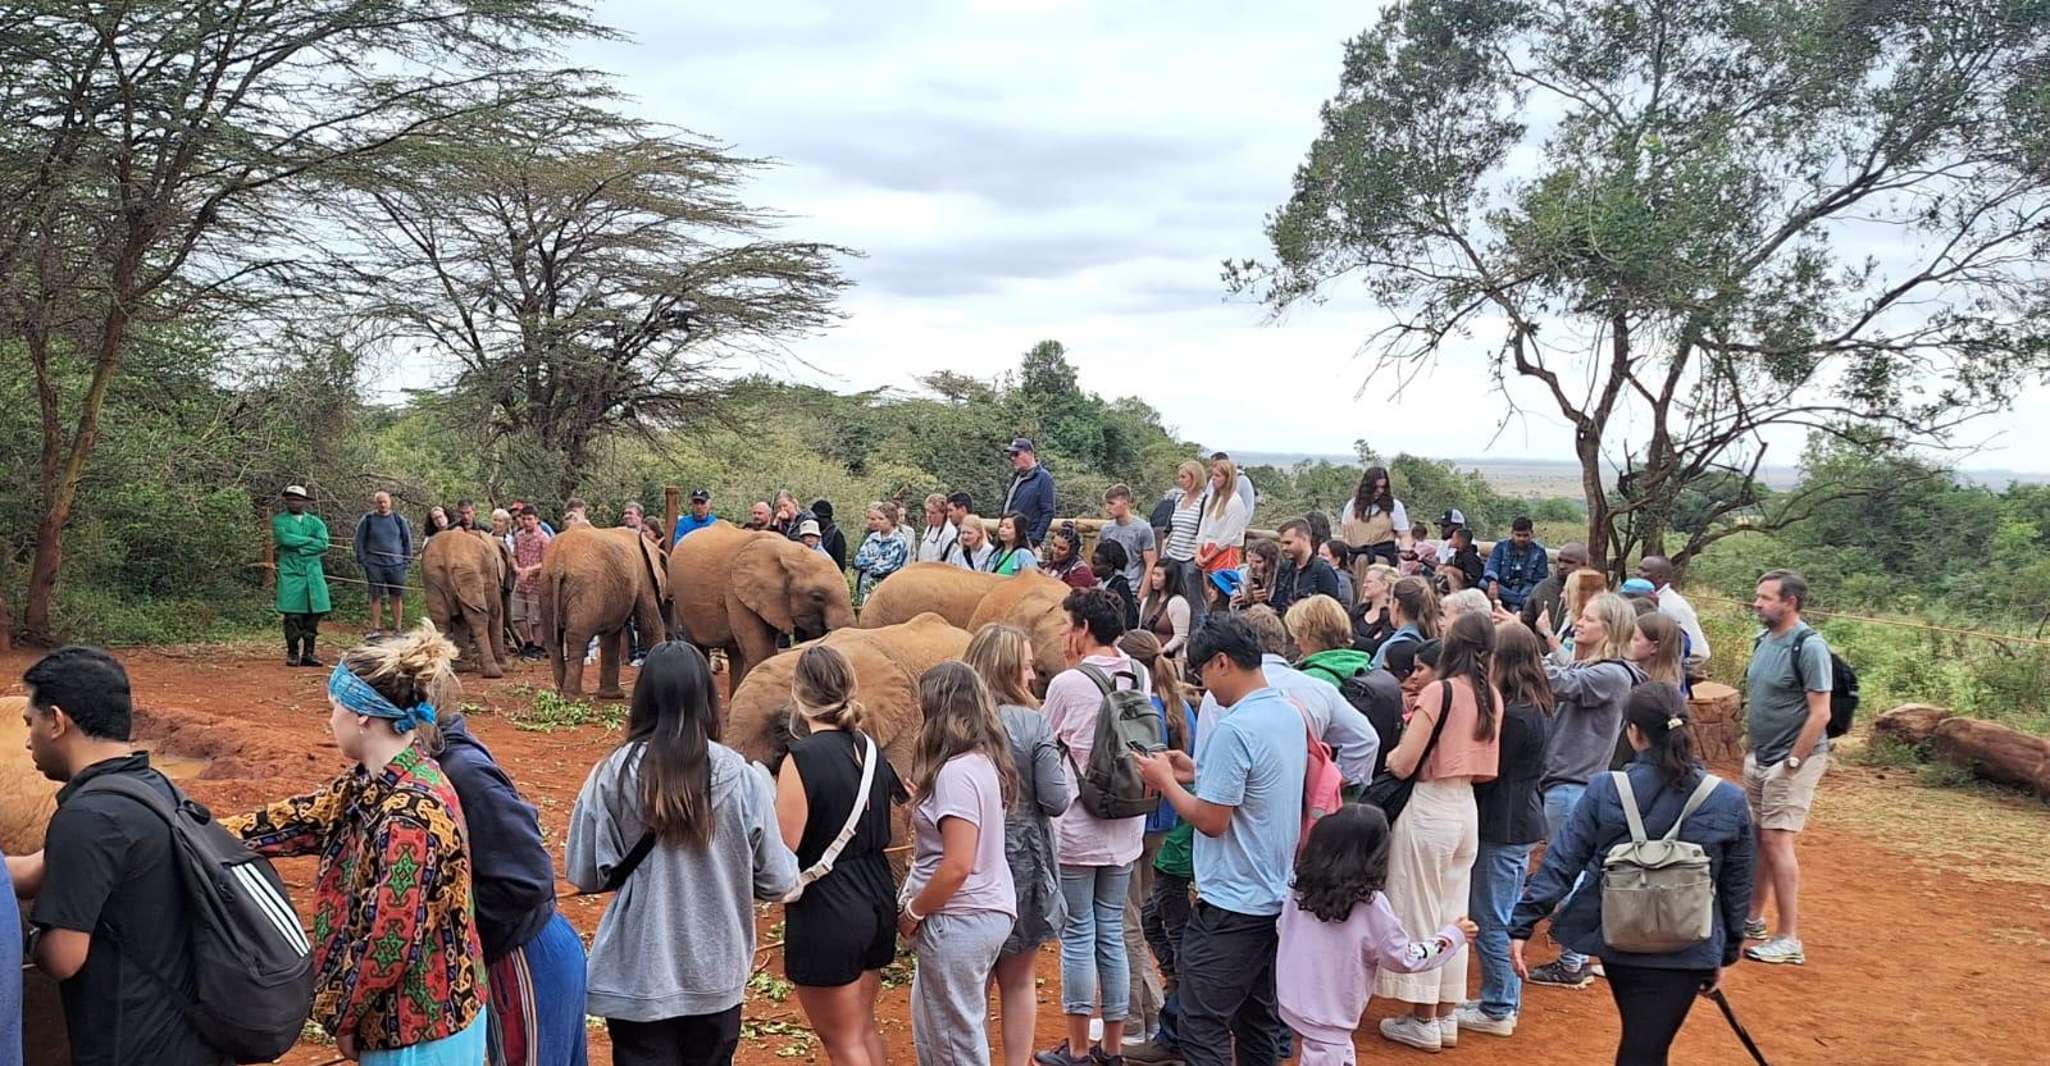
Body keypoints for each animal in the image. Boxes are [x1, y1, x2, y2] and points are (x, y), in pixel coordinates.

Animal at [421, 529, 509, 678]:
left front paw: (464, 668)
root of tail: (447, 556)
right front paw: (506, 666)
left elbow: (459, 619)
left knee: (441, 619)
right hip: (467, 574)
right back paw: (495, 673)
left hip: (433, 577)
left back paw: (446, 669)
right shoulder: (490, 573)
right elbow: (496, 612)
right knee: (478, 618)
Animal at [539, 525, 669, 699]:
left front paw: (612, 696)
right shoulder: (644, 577)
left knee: (552, 640)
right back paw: (575, 697)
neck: (649, 543)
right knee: (577, 637)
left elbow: (611, 636)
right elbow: (650, 625)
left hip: (545, 587)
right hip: (584, 590)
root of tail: (559, 562)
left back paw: (561, 694)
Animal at [667, 520, 856, 688]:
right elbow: (760, 653)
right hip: (681, 599)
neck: (789, 550)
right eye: (817, 597)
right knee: (698, 646)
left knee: (735, 653)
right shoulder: (736, 592)